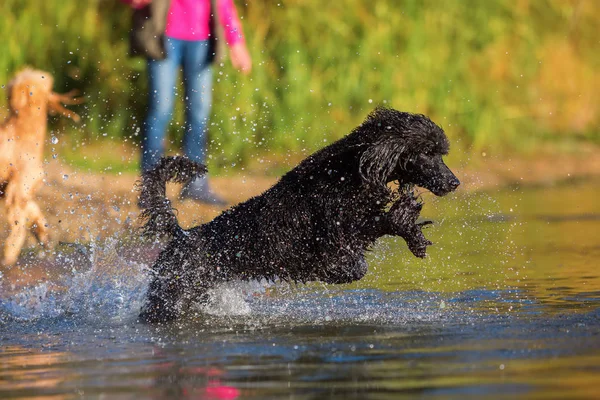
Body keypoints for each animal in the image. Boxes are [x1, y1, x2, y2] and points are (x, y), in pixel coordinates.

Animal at [0, 69, 82, 266]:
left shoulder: (13, 189)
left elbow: (33, 212)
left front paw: (44, 235)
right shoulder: (18, 190)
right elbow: (18, 228)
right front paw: (9, 256)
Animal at [139, 108, 460, 324]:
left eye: (440, 153)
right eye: (427, 153)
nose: (454, 182)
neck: (346, 172)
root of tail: (181, 234)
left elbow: (380, 225)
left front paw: (411, 228)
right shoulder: (331, 242)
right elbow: (356, 263)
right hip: (168, 297)